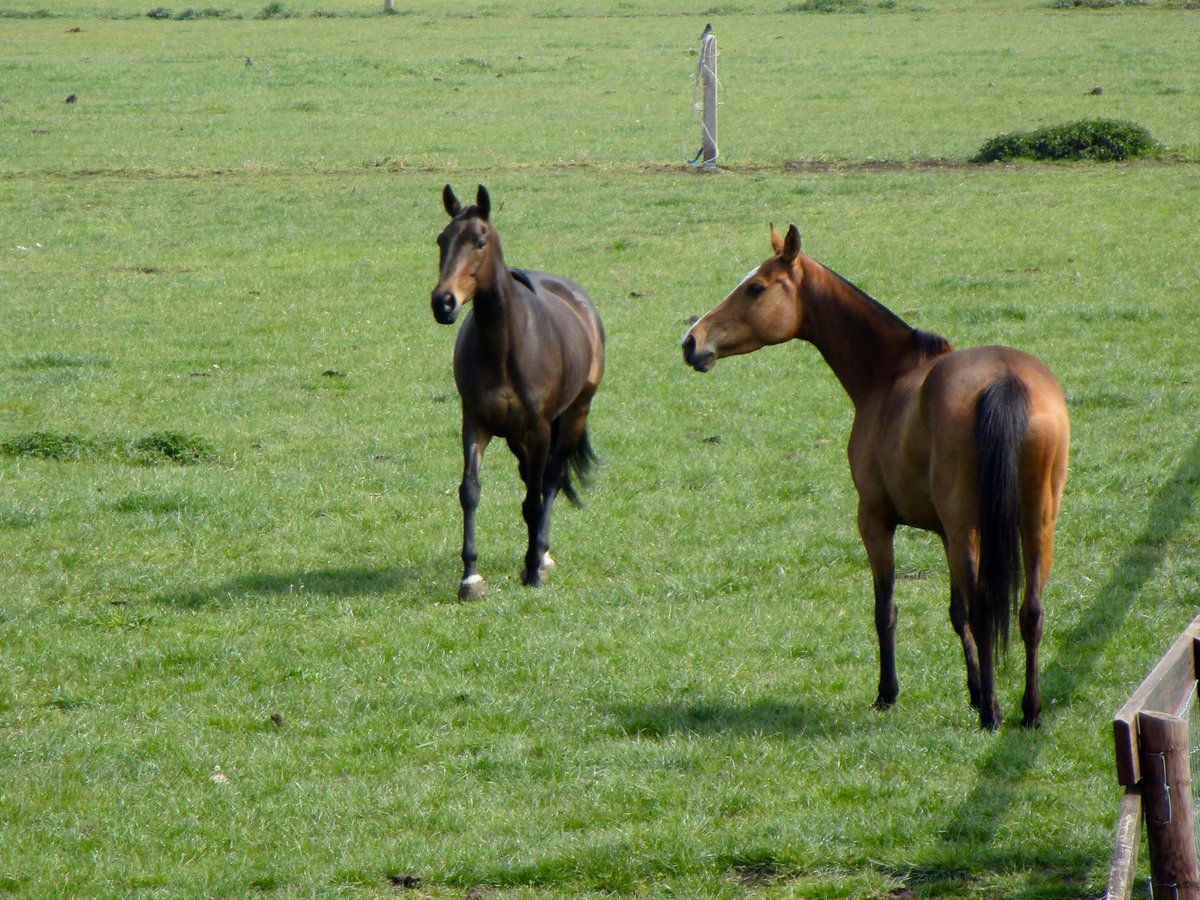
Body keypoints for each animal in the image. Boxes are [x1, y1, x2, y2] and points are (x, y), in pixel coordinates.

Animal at [431, 184, 605, 600]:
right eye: (442, 240)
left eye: (480, 241)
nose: (443, 302)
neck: (505, 347)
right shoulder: (475, 423)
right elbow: (470, 491)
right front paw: (471, 577)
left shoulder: (538, 429)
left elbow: (535, 501)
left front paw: (532, 570)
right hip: (516, 437)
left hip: (572, 415)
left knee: (551, 481)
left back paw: (541, 556)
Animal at [682, 224, 1069, 730]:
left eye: (756, 288)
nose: (691, 342)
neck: (889, 374)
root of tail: (1006, 380)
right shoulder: (945, 532)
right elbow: (956, 612)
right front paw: (971, 688)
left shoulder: (876, 519)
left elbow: (887, 609)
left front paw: (890, 693)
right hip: (1036, 525)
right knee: (1030, 613)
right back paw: (1030, 711)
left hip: (969, 527)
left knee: (988, 613)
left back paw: (992, 714)